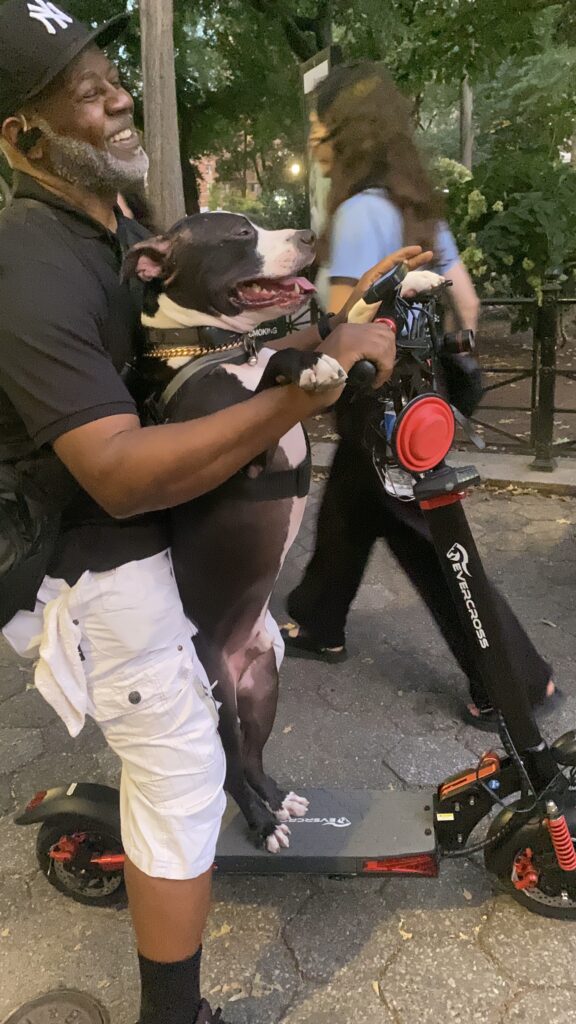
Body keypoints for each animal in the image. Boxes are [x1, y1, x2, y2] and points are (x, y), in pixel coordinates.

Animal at [124, 211, 348, 851]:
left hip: (266, 684)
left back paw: (277, 799)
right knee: (229, 771)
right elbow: (278, 367)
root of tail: (239, 653)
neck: (221, 347)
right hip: (221, 696)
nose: (309, 236)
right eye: (238, 235)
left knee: (252, 758)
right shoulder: (239, 453)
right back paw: (262, 822)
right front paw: (306, 365)